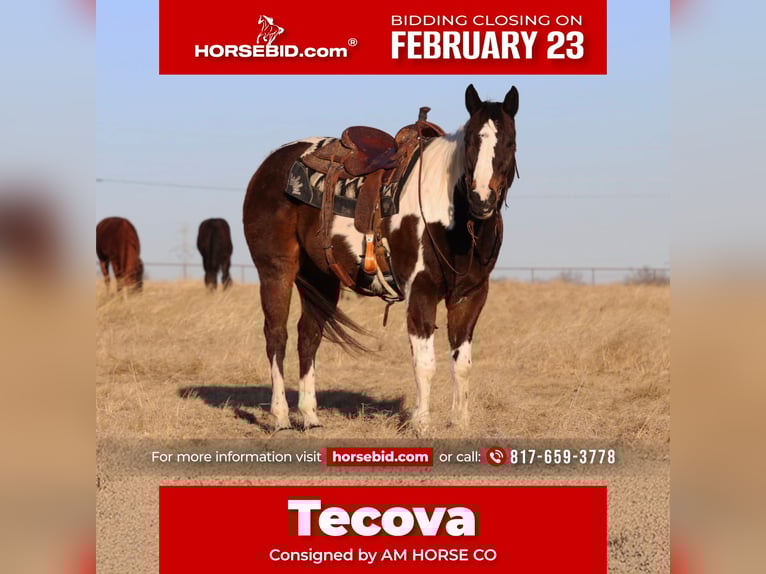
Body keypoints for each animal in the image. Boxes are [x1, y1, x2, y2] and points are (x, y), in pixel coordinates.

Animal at [243, 84, 518, 433]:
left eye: (510, 142)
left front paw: (459, 422)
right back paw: (280, 417)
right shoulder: (421, 291)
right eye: (470, 141)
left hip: (321, 278)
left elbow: (462, 363)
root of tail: (268, 166)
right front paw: (421, 423)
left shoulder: (470, 296)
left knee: (308, 336)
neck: (451, 218)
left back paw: (310, 416)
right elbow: (425, 363)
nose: (481, 199)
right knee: (277, 336)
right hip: (276, 270)